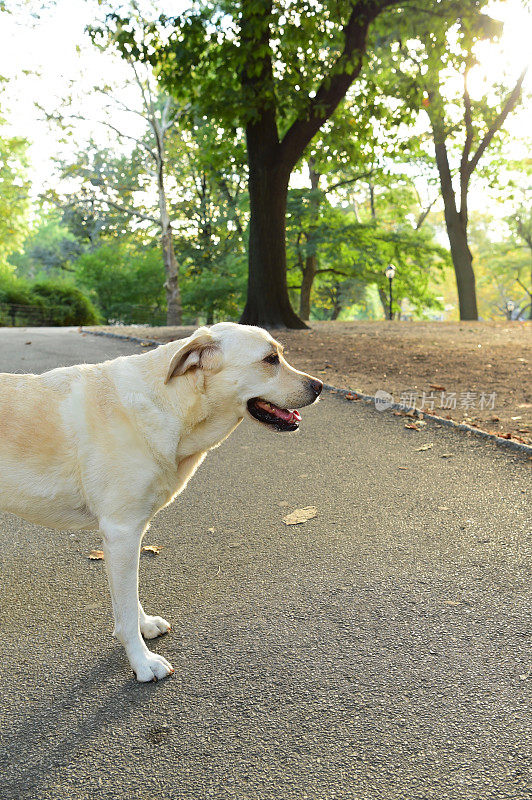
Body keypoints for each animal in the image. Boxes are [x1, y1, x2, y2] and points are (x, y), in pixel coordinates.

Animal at [0, 322, 322, 680]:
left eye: (279, 354)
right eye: (270, 360)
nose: (320, 386)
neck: (171, 403)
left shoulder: (125, 535)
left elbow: (129, 599)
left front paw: (145, 627)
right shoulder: (121, 532)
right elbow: (125, 612)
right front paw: (142, 662)